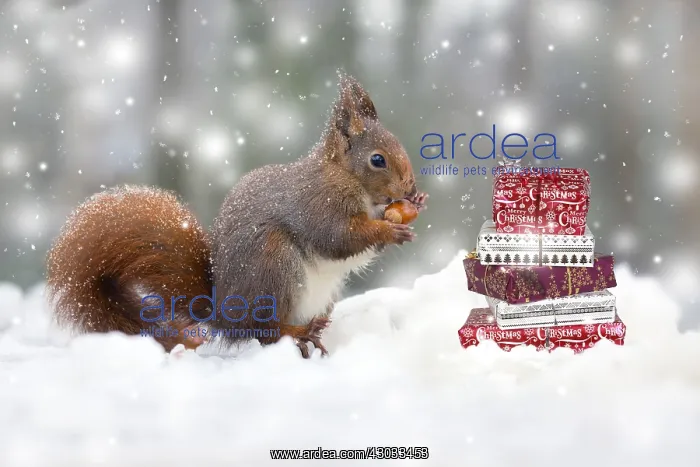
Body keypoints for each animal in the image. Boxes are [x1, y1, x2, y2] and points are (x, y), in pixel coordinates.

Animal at [45, 73, 428, 358]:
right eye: (377, 159)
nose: (410, 186)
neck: (345, 177)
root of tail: (222, 314)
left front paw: (416, 204)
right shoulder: (318, 204)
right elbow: (338, 238)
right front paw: (389, 231)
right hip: (274, 265)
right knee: (264, 332)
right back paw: (300, 332)